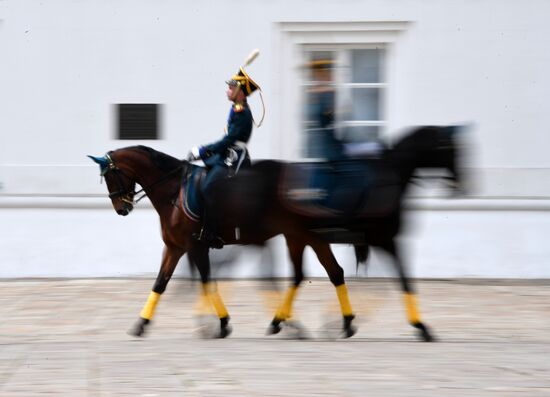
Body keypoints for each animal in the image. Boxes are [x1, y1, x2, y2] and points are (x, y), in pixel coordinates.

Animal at [90, 126, 466, 340]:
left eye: (111, 176)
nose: (121, 207)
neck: (172, 191)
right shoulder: (176, 248)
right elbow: (161, 284)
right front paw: (142, 323)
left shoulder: (195, 247)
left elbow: (206, 281)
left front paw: (221, 323)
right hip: (300, 237)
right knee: (322, 274)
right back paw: (322, 322)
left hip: (299, 237)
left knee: (313, 274)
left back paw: (306, 322)